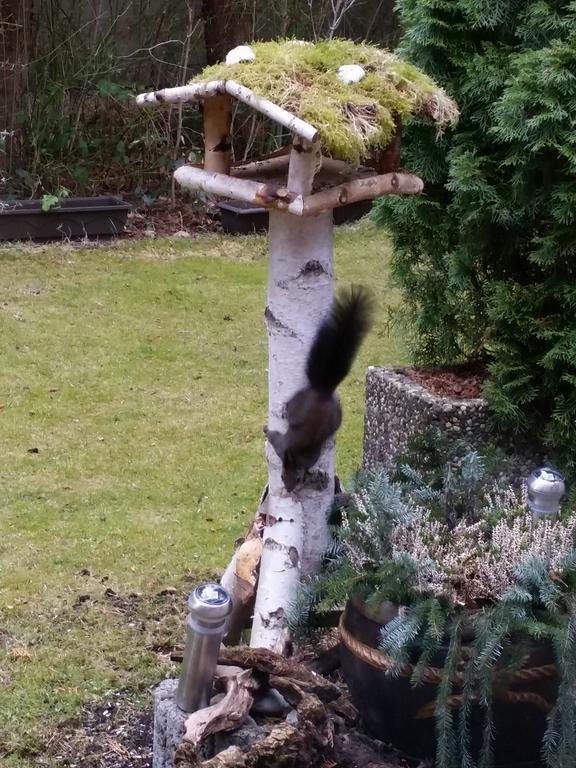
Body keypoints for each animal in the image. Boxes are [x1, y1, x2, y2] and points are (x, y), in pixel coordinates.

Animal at [266, 284, 374, 492]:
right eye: (282, 476)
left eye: (298, 479)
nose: (289, 489)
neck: (294, 455)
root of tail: (323, 390)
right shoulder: (283, 447)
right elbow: (275, 440)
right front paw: (266, 430)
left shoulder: (299, 453)